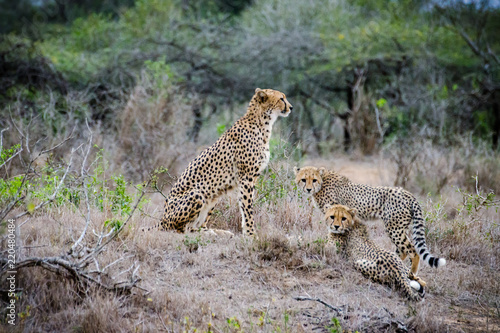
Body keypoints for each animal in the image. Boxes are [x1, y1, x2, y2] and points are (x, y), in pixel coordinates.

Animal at [152, 87, 292, 235]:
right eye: (281, 99)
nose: (291, 107)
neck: (262, 123)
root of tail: (161, 220)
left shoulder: (253, 177)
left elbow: (244, 205)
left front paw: (248, 232)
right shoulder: (246, 177)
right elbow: (247, 207)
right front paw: (251, 233)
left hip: (214, 197)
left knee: (198, 226)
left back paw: (217, 232)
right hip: (197, 194)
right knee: (182, 230)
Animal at [292, 165, 446, 274]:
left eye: (314, 180)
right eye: (304, 179)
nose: (308, 189)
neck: (322, 182)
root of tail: (408, 194)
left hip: (394, 228)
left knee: (412, 250)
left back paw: (411, 274)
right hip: (399, 227)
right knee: (402, 250)